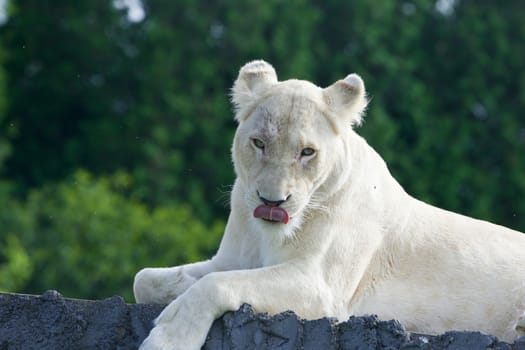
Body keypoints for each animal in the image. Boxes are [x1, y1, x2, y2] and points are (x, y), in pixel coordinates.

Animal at [134, 59, 524, 348]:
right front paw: (174, 295)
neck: (267, 234)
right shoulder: (230, 259)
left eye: (307, 152)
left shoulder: (321, 287)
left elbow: (217, 284)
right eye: (259, 143)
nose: (272, 201)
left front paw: (168, 338)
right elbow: (145, 279)